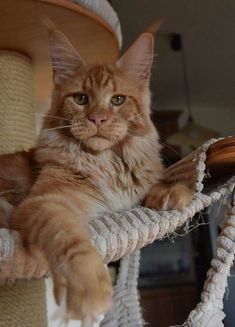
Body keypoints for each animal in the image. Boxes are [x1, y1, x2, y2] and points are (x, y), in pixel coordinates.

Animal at [0, 30, 191, 322]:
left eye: (118, 100)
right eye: (80, 99)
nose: (98, 119)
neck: (107, 162)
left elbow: (157, 183)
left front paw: (172, 190)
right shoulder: (44, 202)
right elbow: (68, 236)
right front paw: (86, 285)